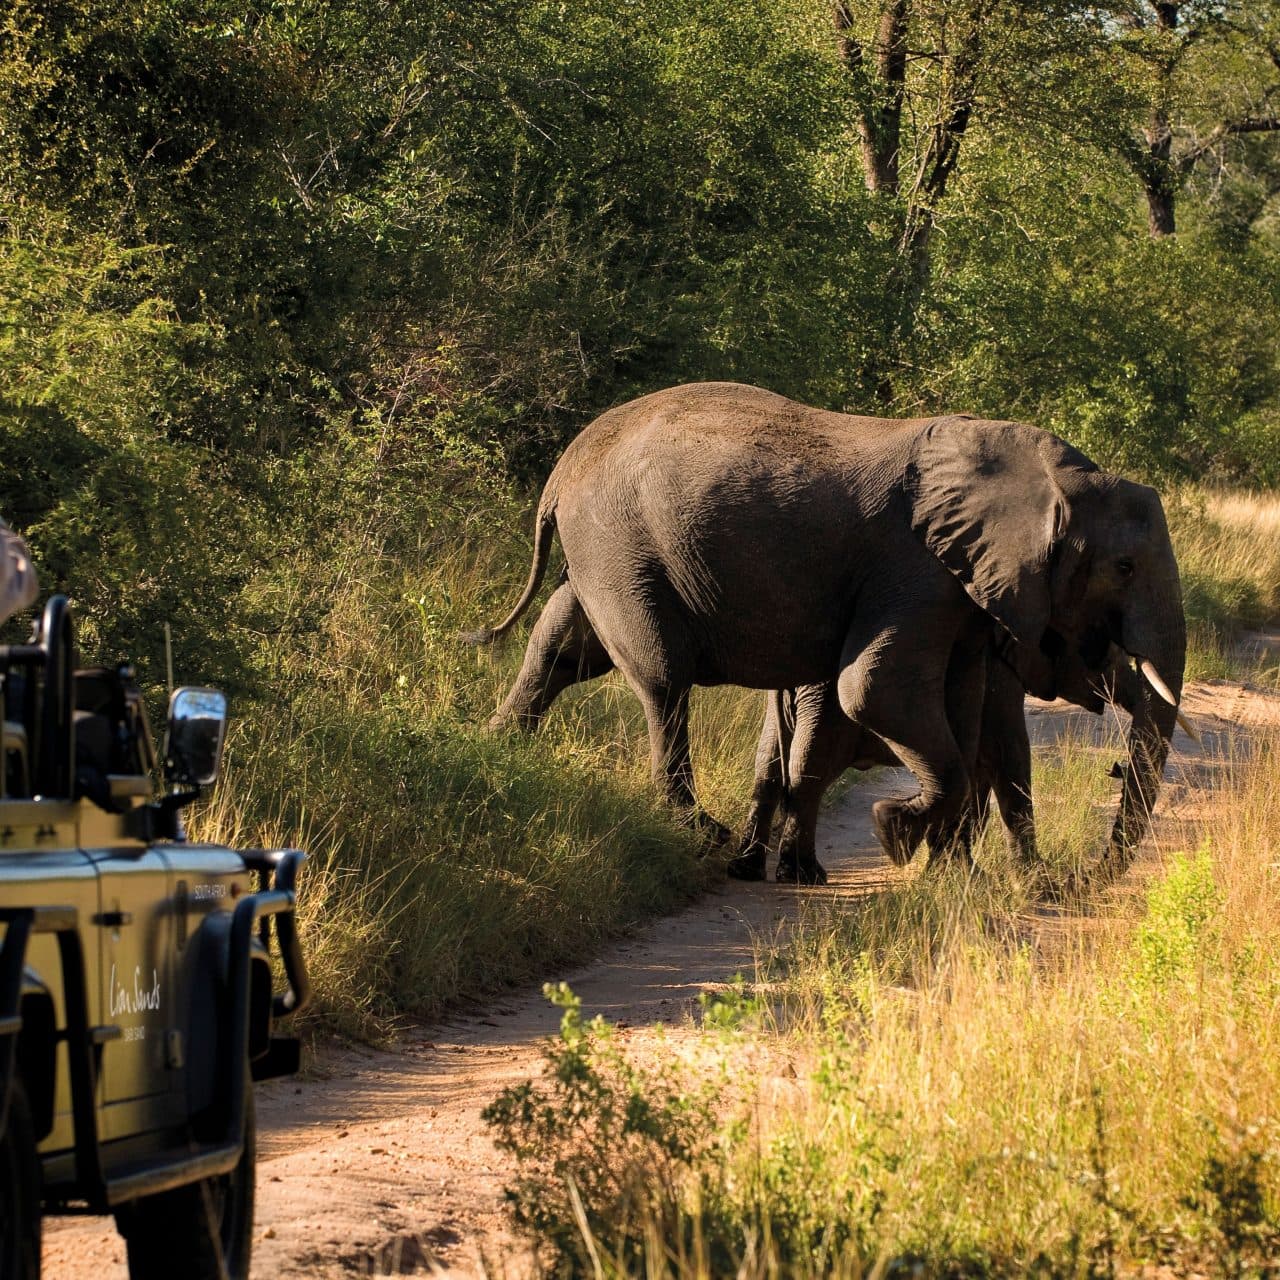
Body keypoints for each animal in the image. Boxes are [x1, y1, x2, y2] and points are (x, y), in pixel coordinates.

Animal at [468, 382, 1187, 884]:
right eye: (1123, 567)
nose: (1084, 877)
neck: (1047, 472)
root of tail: (560, 472)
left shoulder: (962, 596)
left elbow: (960, 708)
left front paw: (951, 874)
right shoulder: (917, 569)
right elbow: (874, 690)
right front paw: (894, 833)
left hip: (601, 554)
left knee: (561, 645)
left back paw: (497, 755)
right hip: (620, 545)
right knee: (662, 679)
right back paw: (709, 836)